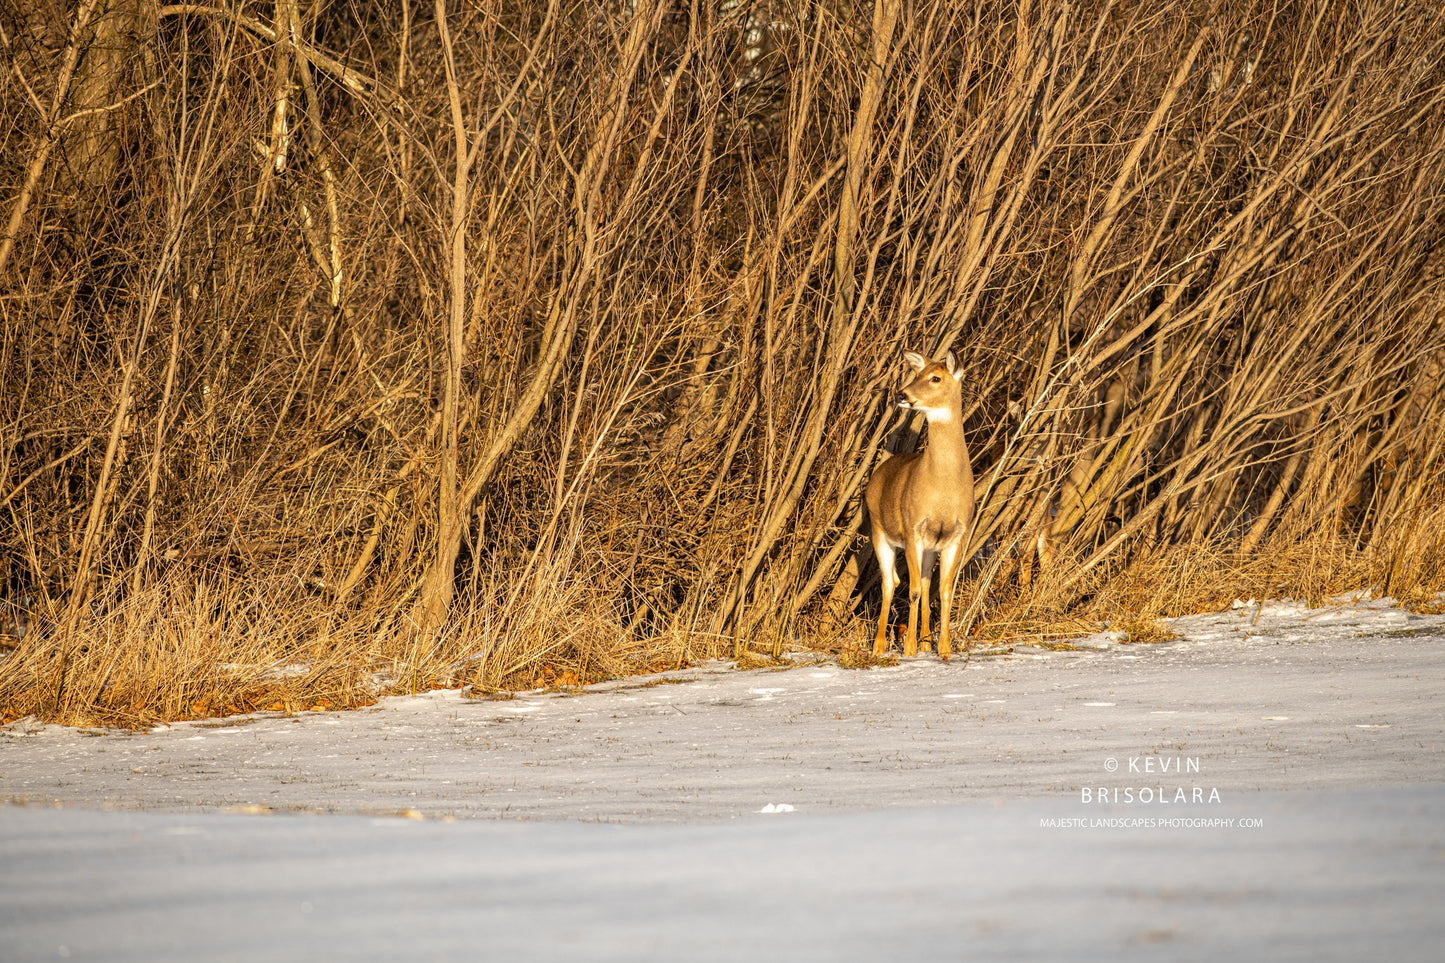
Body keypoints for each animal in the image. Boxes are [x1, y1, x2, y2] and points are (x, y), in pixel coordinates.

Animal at [865, 350, 976, 659]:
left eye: (935, 378)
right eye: (917, 374)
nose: (901, 394)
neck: (943, 488)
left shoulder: (956, 535)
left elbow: (944, 590)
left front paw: (944, 649)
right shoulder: (911, 527)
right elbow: (912, 588)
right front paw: (910, 649)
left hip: (928, 547)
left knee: (925, 583)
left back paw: (926, 640)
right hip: (879, 532)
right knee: (891, 583)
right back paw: (879, 646)